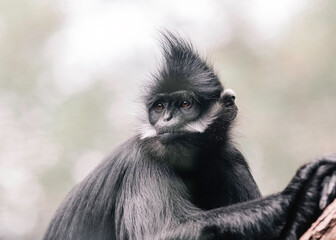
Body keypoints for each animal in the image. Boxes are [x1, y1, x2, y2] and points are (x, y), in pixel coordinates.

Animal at [42, 32, 336, 240]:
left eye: (184, 104)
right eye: (159, 107)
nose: (167, 120)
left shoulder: (231, 160)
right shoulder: (143, 160)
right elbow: (160, 233)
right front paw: (297, 194)